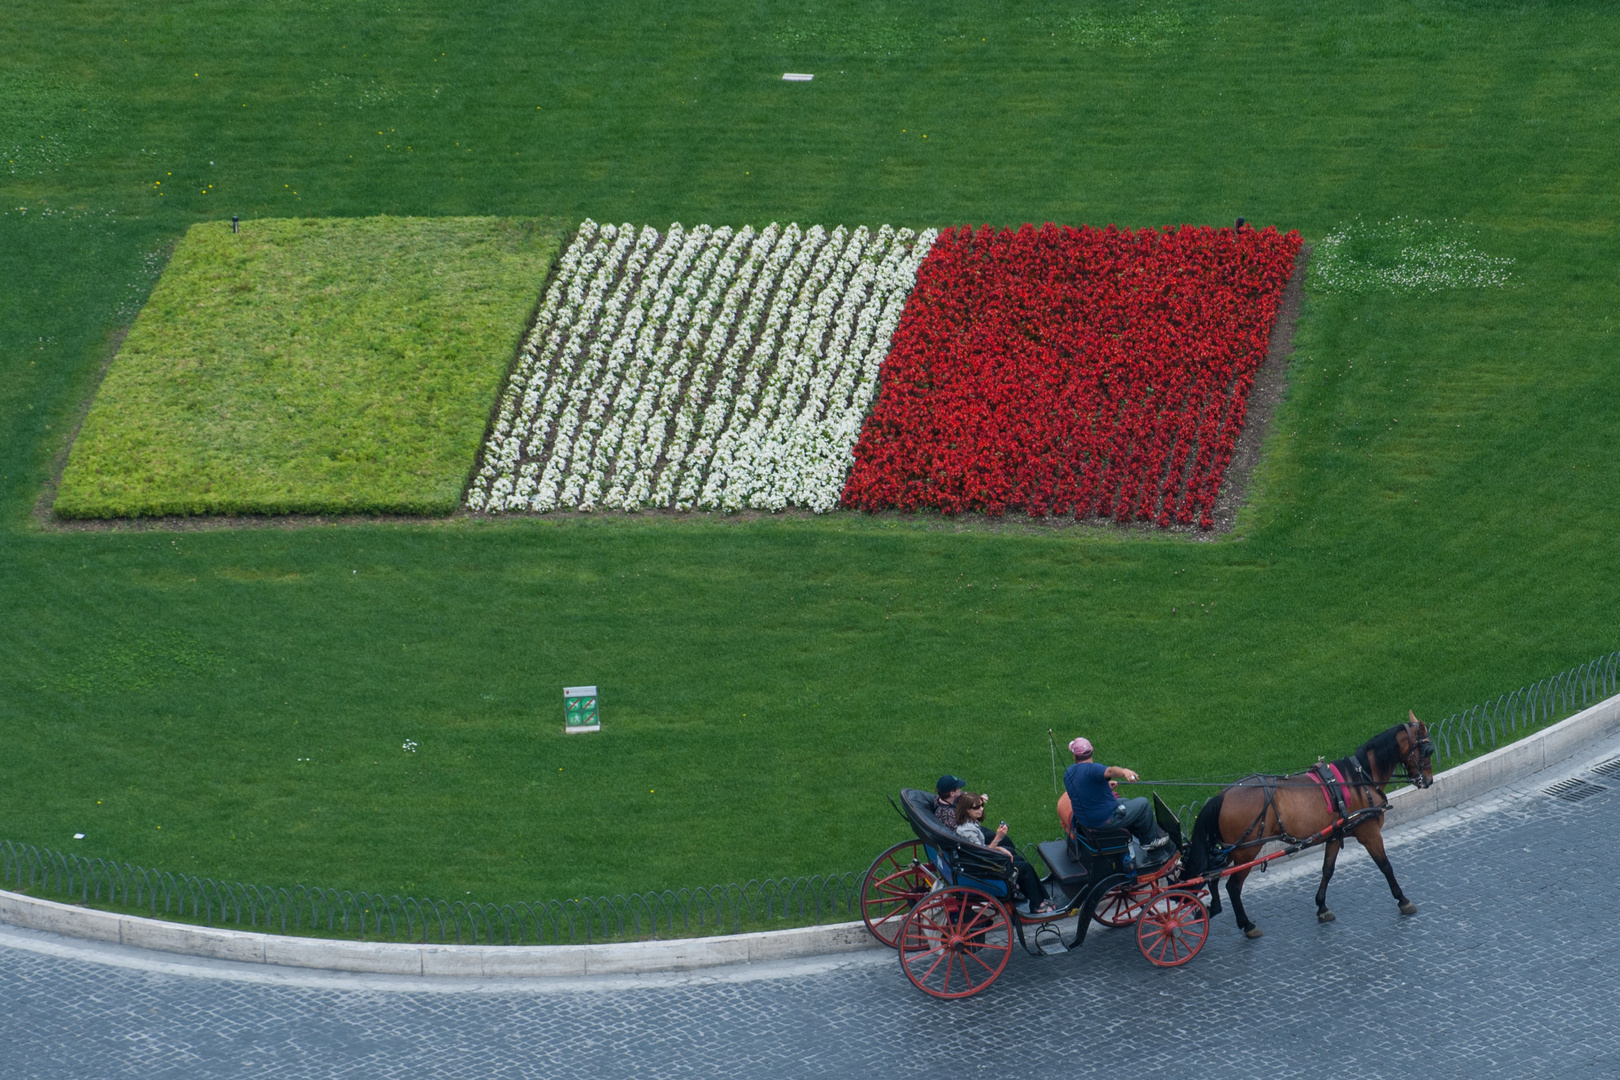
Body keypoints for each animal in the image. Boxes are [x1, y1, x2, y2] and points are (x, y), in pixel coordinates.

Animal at [1185, 709, 1438, 939]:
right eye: (1428, 750)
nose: (1428, 781)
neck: (1360, 779)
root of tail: (1222, 795)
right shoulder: (1369, 833)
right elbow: (1385, 865)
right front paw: (1402, 899)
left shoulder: (1335, 835)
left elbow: (1327, 870)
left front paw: (1322, 906)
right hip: (1247, 850)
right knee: (1233, 886)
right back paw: (1246, 924)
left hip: (1231, 848)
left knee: (1211, 874)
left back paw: (1210, 908)